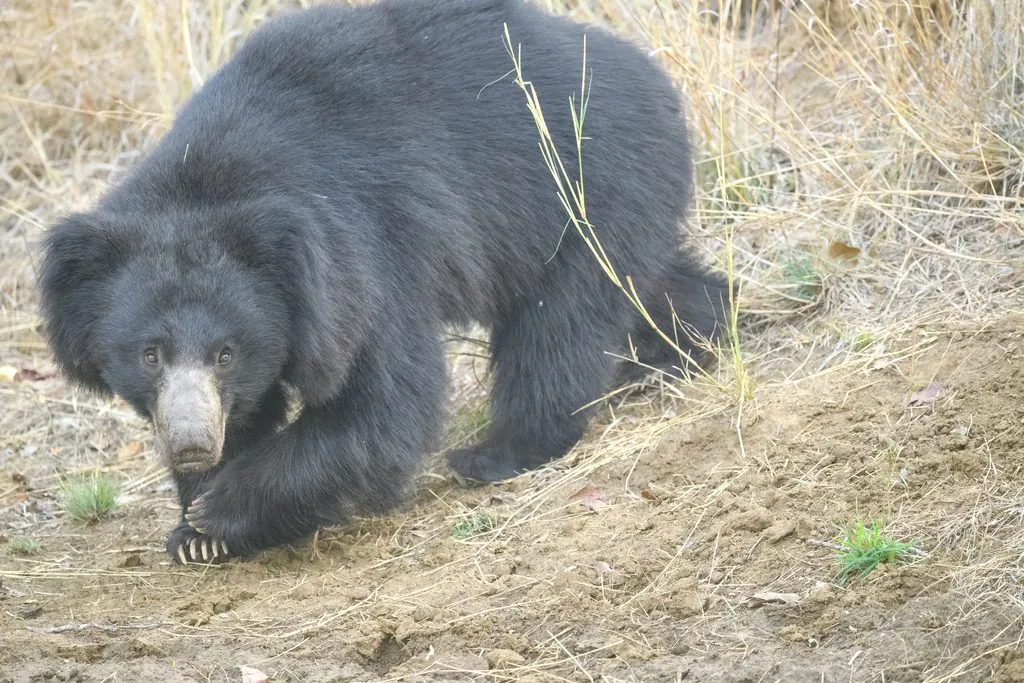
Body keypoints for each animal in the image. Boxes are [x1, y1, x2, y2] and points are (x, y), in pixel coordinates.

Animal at [38, 0, 729, 564]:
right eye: (149, 354)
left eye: (225, 353)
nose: (190, 446)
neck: (212, 178)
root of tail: (658, 81)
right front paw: (194, 530)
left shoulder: (365, 259)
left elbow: (381, 407)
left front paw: (218, 510)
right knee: (643, 286)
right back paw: (693, 344)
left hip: (583, 185)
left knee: (560, 325)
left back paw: (497, 453)